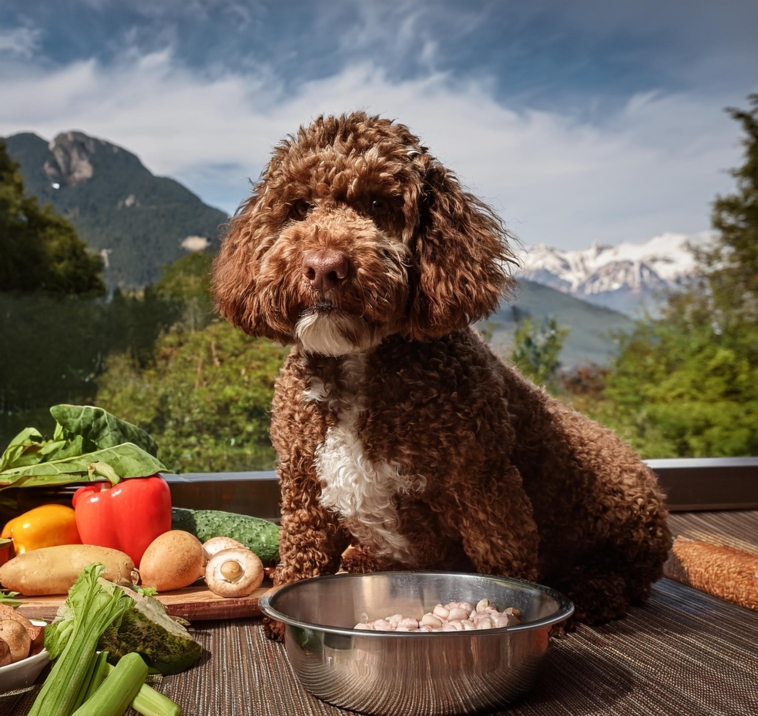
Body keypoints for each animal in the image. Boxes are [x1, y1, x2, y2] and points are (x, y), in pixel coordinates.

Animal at [212, 112, 672, 636]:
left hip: (620, 522)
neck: (358, 362)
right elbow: (302, 545)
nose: (324, 267)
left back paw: (592, 591)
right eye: (298, 208)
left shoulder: (486, 487)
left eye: (378, 203)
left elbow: (505, 560)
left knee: (626, 581)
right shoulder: (303, 483)